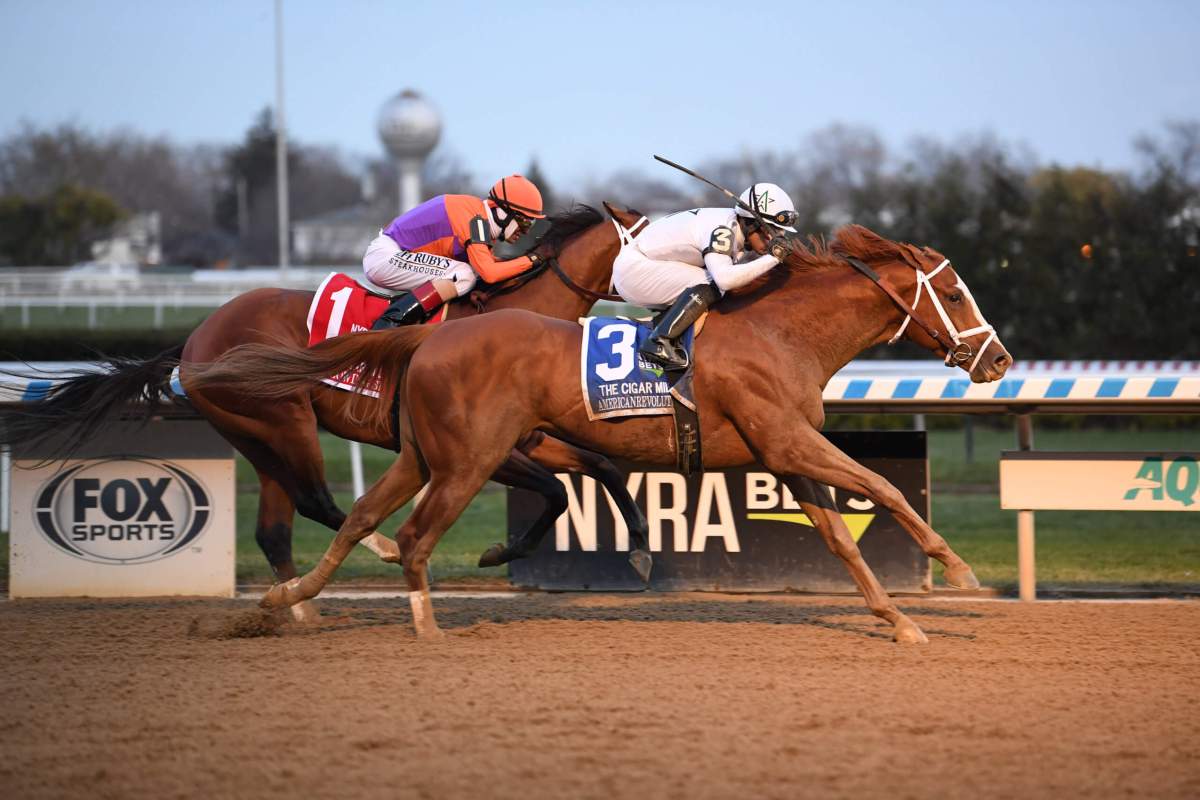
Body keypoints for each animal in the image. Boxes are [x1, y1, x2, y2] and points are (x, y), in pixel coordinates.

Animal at [0, 201, 657, 618]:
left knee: (273, 529)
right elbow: (556, 488)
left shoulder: (528, 438)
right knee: (318, 502)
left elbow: (595, 471)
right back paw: (377, 554)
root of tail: (192, 342)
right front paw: (498, 551)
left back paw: (294, 610)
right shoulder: (489, 448)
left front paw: (632, 547)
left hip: (257, 438)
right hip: (285, 422)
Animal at [189, 224, 1012, 642]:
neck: (780, 330)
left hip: (422, 454)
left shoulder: (786, 451)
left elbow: (842, 536)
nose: (999, 358)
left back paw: (288, 599)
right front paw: (960, 571)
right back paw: (423, 630)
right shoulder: (787, 441)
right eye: (956, 291)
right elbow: (879, 488)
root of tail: (428, 336)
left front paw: (896, 619)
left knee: (353, 516)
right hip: (458, 458)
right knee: (407, 534)